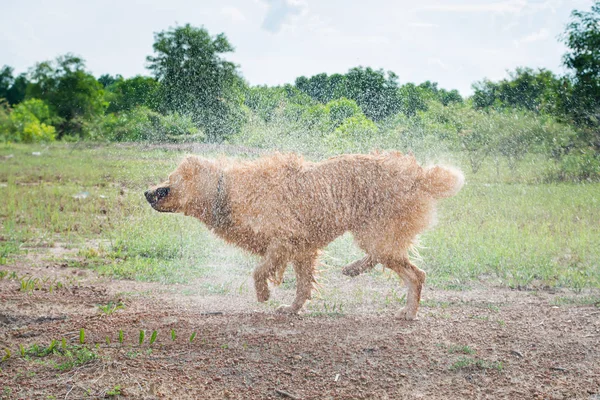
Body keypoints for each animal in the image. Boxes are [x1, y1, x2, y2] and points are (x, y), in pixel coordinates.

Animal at [145, 152, 464, 320]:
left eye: (169, 183)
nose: (147, 193)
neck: (226, 191)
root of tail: (420, 177)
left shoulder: (284, 240)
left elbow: (259, 271)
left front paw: (264, 294)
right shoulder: (302, 249)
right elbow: (302, 285)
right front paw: (292, 308)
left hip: (375, 231)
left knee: (414, 273)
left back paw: (406, 310)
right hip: (375, 232)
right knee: (393, 261)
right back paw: (355, 269)